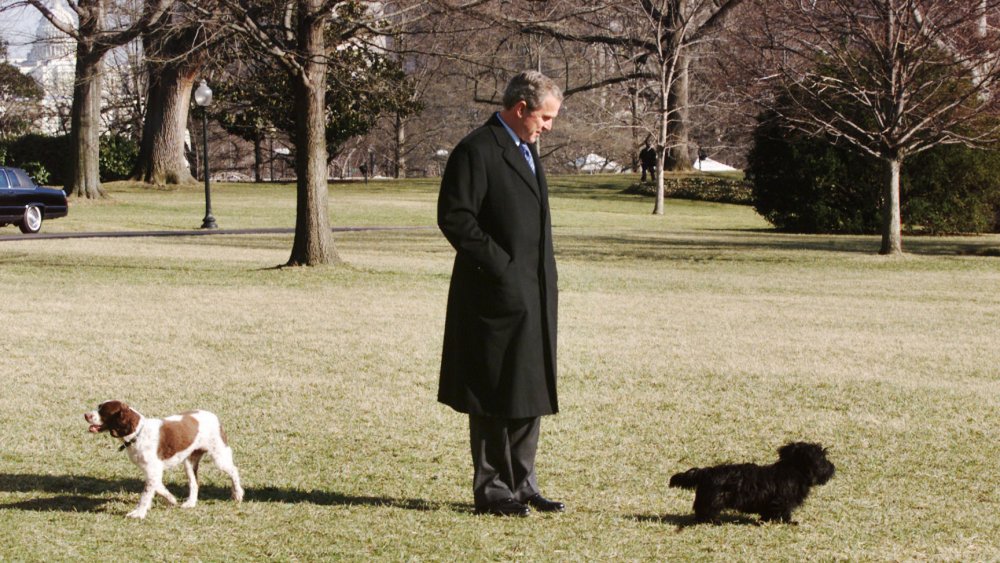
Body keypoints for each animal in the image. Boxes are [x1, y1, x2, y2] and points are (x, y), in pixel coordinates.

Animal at [84, 400, 244, 520]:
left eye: (103, 411)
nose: (85, 415)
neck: (138, 433)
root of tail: (214, 416)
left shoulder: (153, 469)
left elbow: (146, 494)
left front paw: (138, 513)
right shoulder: (151, 470)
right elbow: (158, 487)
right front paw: (171, 499)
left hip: (219, 455)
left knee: (234, 471)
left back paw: (237, 494)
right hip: (189, 461)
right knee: (194, 483)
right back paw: (190, 503)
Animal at [672, 440, 836, 524]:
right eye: (823, 459)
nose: (833, 467)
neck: (793, 470)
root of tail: (705, 472)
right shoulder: (782, 501)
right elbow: (783, 513)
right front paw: (788, 522)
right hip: (712, 501)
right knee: (704, 513)